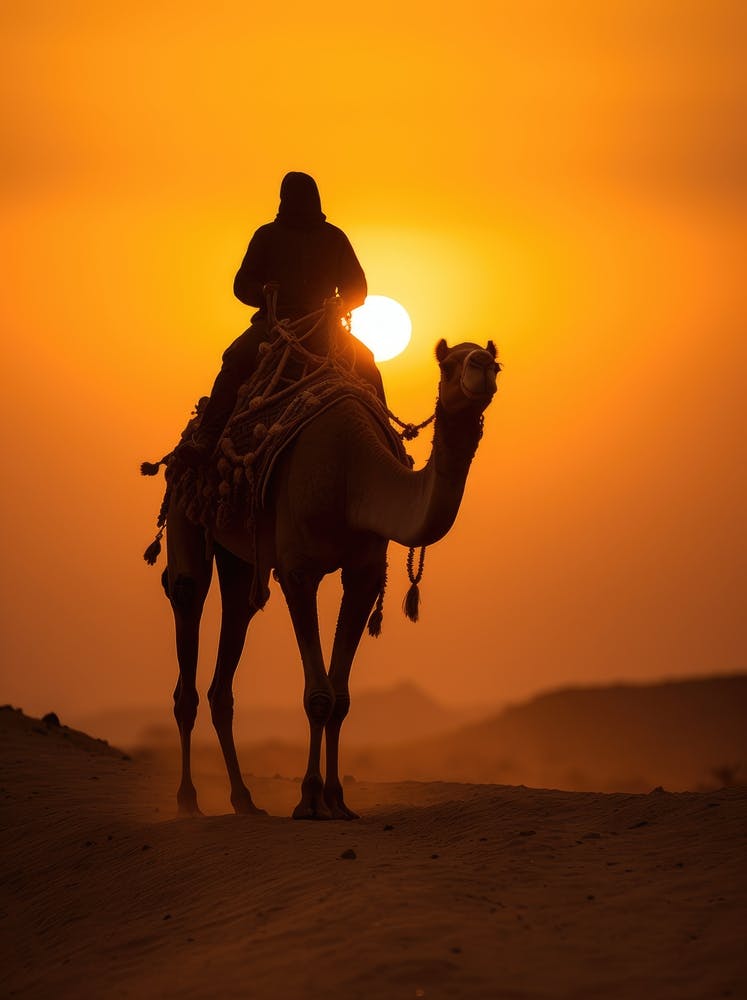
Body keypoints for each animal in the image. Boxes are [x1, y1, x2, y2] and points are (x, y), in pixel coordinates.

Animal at [162, 336, 499, 819]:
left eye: (497, 363)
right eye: (449, 365)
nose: (482, 366)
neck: (353, 476)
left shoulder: (365, 572)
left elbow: (340, 698)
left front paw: (337, 800)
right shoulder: (298, 569)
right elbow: (317, 694)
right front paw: (308, 799)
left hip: (238, 552)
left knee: (233, 635)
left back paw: (245, 800)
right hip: (183, 509)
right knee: (187, 606)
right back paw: (188, 801)